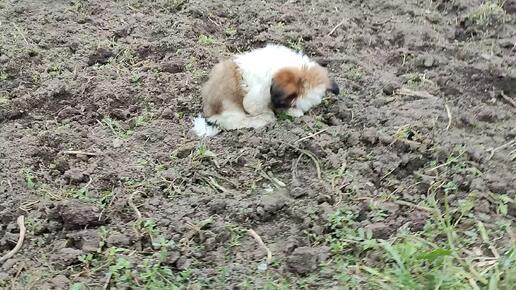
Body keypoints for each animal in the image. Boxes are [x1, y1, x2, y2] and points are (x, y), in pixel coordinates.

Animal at [191, 43, 340, 138]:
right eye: (289, 100)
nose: (295, 110)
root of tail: (209, 116)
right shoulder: (256, 96)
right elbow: (257, 107)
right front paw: (271, 114)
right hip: (230, 109)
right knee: (235, 123)